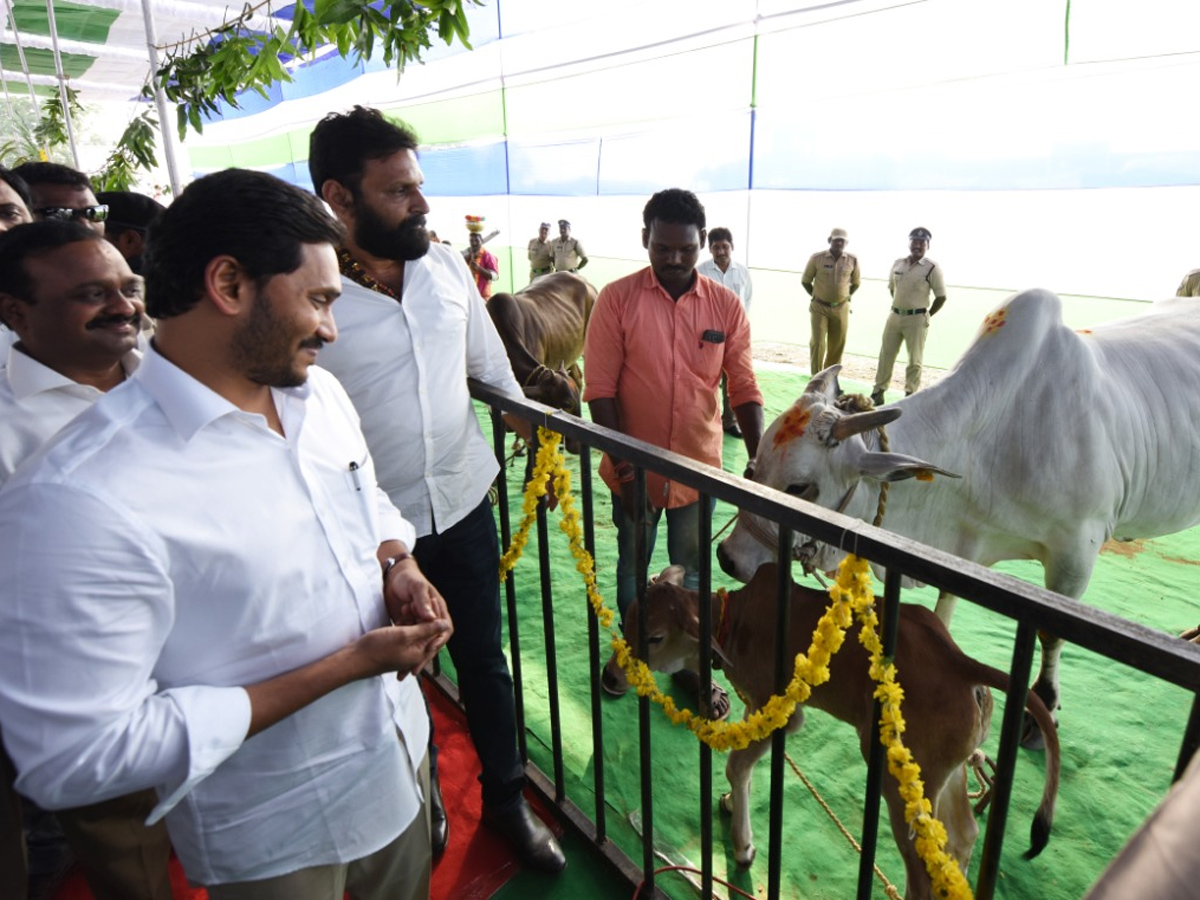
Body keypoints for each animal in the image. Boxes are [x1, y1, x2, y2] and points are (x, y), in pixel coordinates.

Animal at [628, 564, 1060, 900]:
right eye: (629, 618)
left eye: (656, 636)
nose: (617, 676)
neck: (734, 621)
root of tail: (962, 663)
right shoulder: (756, 705)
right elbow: (745, 768)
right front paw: (732, 804)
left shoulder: (784, 711)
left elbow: (738, 765)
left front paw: (743, 847)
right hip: (946, 772)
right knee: (963, 835)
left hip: (898, 778)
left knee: (923, 873)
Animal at [715, 290, 1195, 748]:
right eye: (754, 467)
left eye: (800, 487)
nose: (728, 557)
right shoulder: (961, 549)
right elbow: (944, 610)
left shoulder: (1075, 554)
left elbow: (1052, 635)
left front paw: (1043, 712)